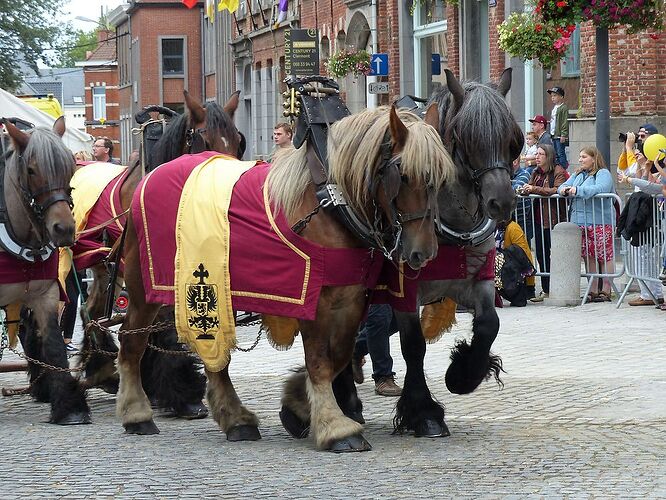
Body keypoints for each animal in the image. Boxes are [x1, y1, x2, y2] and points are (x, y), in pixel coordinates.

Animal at [0, 118, 91, 426]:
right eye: (31, 170)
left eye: (70, 168)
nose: (63, 229)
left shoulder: (45, 295)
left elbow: (53, 342)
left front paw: (69, 407)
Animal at [116, 105, 454, 454]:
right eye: (402, 176)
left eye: (440, 179)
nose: (423, 252)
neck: (330, 205)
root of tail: (151, 176)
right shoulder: (312, 300)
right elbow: (319, 360)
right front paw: (335, 428)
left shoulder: (353, 298)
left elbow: (339, 356)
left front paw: (299, 406)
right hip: (146, 288)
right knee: (131, 341)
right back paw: (137, 414)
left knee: (215, 356)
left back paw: (235, 419)